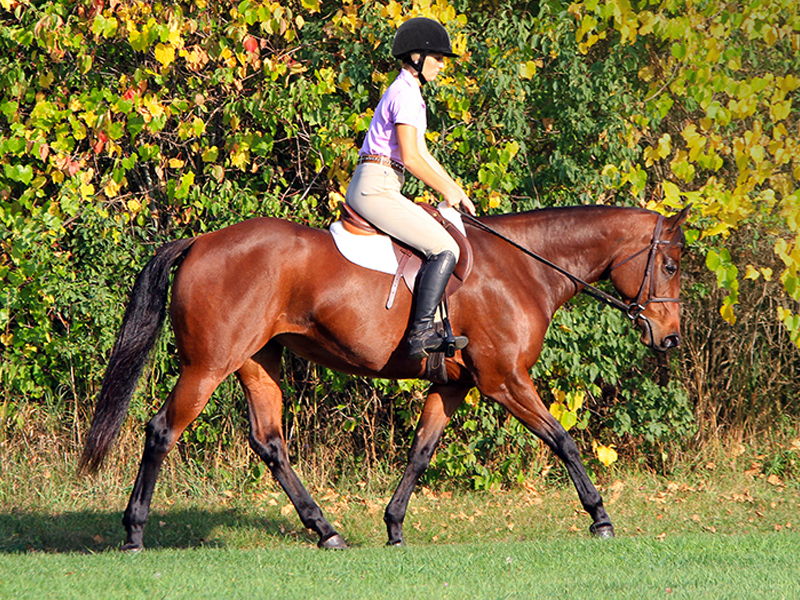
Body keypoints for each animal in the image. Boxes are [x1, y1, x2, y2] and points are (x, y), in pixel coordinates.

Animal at [79, 204, 690, 550]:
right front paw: (600, 517)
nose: (670, 338)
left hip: (257, 362)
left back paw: (326, 530)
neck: (523, 268)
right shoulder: (505, 380)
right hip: (207, 366)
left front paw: (394, 525)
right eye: (670, 265)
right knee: (162, 430)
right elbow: (563, 440)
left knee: (270, 444)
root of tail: (200, 242)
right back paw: (134, 532)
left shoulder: (454, 385)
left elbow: (420, 452)